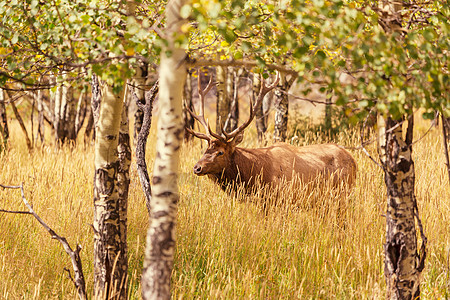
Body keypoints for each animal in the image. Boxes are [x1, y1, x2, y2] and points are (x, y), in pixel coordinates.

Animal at [185, 73, 356, 195]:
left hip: (343, 192)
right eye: (206, 149)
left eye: (220, 152)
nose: (197, 168)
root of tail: (354, 161)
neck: (255, 173)